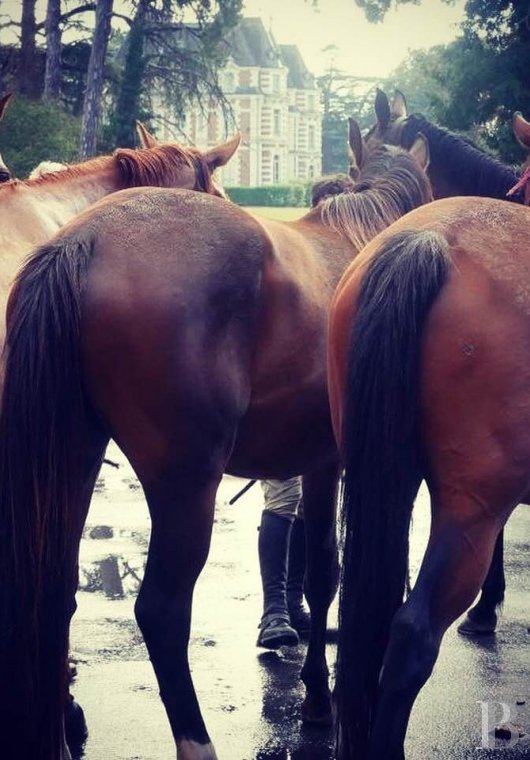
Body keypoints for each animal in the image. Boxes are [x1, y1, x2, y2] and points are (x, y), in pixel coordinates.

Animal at [0, 131, 432, 760]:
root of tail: (81, 241)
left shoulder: (317, 461)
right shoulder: (332, 462)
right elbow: (325, 573)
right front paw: (319, 700)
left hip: (72, 462)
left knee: (52, 593)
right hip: (186, 483)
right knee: (160, 612)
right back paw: (195, 740)